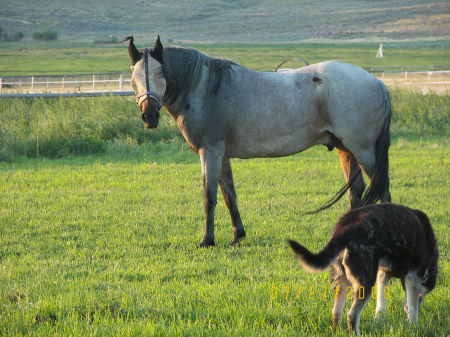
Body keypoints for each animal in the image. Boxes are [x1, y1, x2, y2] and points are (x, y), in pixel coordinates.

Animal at [125, 36, 392, 247]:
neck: (207, 89)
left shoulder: (209, 152)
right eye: (133, 76)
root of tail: (376, 82)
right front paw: (237, 236)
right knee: (356, 191)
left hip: (364, 151)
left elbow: (209, 195)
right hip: (345, 150)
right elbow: (229, 194)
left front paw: (207, 240)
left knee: (382, 188)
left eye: (161, 73)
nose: (149, 116)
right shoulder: (222, 156)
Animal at [288, 202, 440, 334]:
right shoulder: (413, 277)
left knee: (336, 312)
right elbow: (413, 309)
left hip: (343, 281)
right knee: (352, 315)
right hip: (365, 283)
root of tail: (345, 228)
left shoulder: (382, 275)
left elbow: (381, 306)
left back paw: (336, 331)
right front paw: (414, 327)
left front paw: (379, 321)